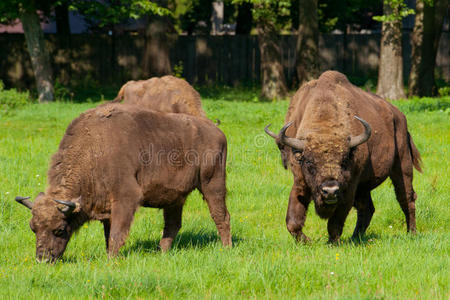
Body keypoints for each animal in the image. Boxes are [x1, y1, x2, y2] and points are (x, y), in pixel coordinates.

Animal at [15, 103, 230, 262]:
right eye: (33, 228)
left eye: (59, 229)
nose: (43, 259)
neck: (93, 150)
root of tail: (217, 131)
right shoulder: (106, 208)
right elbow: (108, 234)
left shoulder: (126, 198)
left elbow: (116, 233)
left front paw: (111, 260)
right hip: (175, 198)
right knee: (173, 224)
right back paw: (162, 252)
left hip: (213, 184)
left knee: (221, 216)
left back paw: (226, 248)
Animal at [264, 71, 422, 244]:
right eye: (309, 162)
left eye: (345, 160)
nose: (330, 190)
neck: (324, 128)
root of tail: (398, 115)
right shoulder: (300, 181)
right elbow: (292, 221)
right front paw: (307, 241)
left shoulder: (349, 188)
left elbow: (335, 222)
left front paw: (332, 243)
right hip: (364, 186)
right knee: (367, 208)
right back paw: (355, 237)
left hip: (402, 165)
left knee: (406, 198)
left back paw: (411, 233)